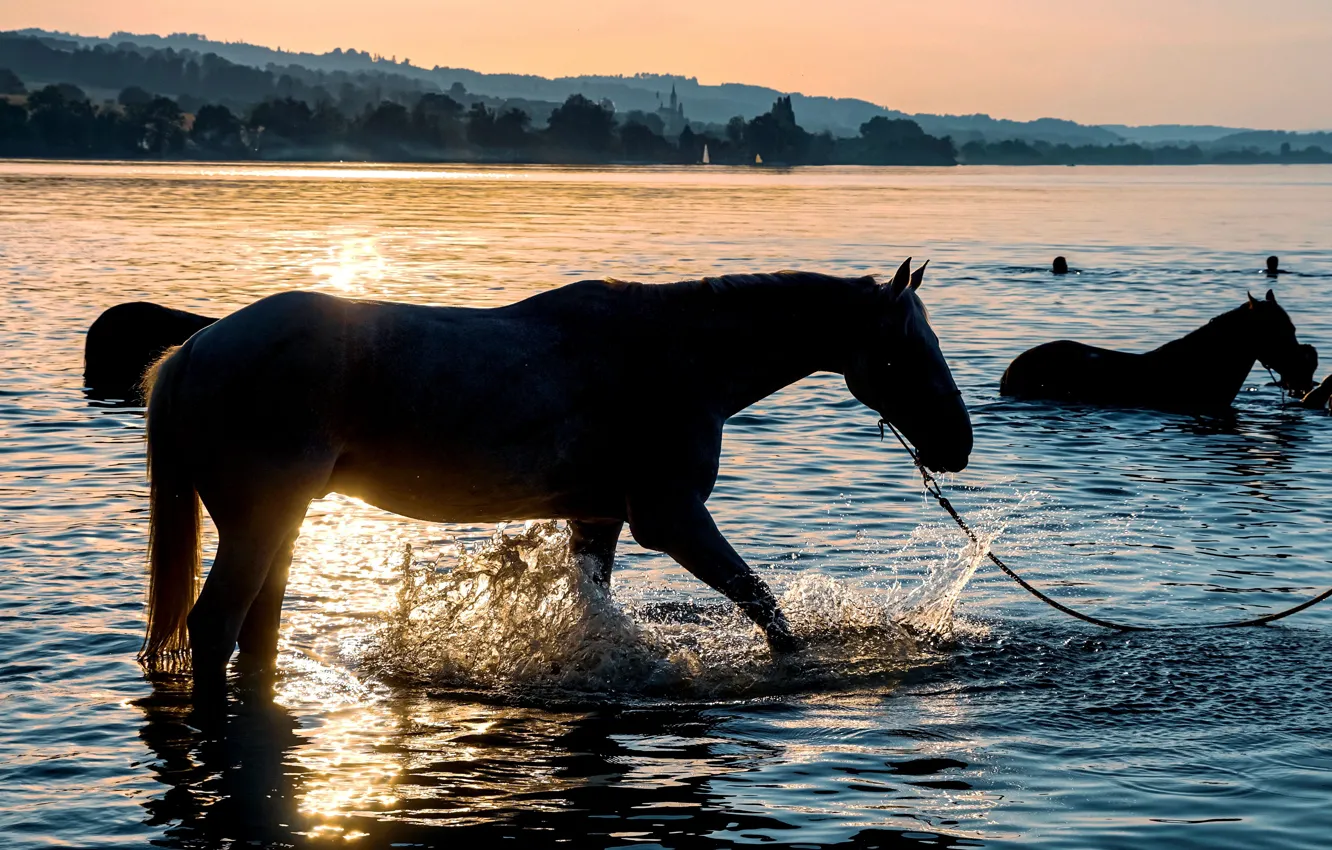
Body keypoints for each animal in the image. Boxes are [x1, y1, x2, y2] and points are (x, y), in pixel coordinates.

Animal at [138, 259, 973, 688]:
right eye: (906, 350)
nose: (958, 445)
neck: (676, 359)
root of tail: (193, 350)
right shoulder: (672, 518)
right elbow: (763, 606)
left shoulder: (598, 517)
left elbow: (597, 607)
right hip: (260, 519)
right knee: (214, 627)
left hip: (279, 523)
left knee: (254, 631)